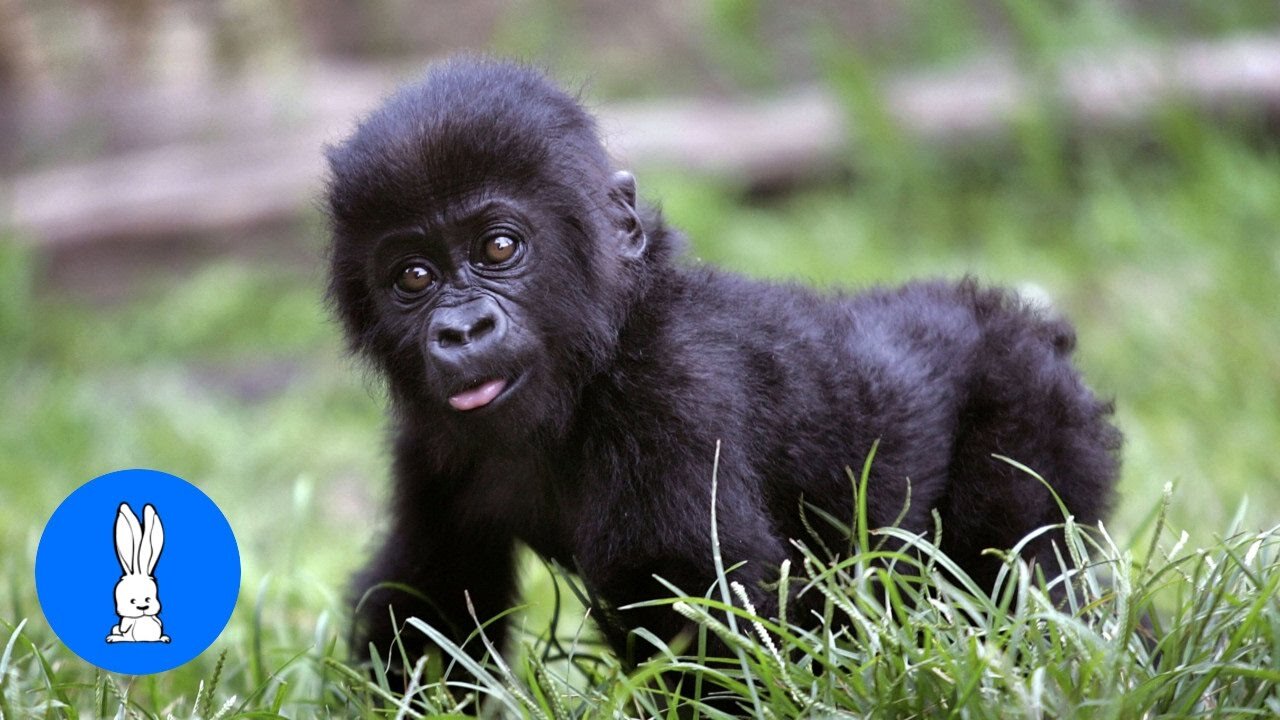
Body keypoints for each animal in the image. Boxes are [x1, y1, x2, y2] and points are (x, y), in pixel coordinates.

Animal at [322, 58, 1121, 671]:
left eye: (498, 248)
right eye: (414, 278)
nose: (462, 330)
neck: (602, 352)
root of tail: (1025, 324)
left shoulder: (672, 389)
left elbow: (702, 611)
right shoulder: (429, 437)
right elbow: (430, 592)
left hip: (1033, 412)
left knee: (1023, 588)